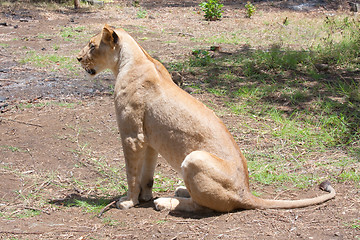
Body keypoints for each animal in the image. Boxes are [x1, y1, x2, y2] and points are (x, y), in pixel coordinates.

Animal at [77, 24, 336, 212]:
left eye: (92, 45)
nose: (78, 58)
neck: (131, 60)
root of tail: (246, 192)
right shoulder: (149, 140)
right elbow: (146, 175)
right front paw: (145, 197)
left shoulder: (132, 137)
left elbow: (131, 174)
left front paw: (129, 201)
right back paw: (179, 190)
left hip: (195, 158)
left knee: (204, 206)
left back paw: (167, 202)